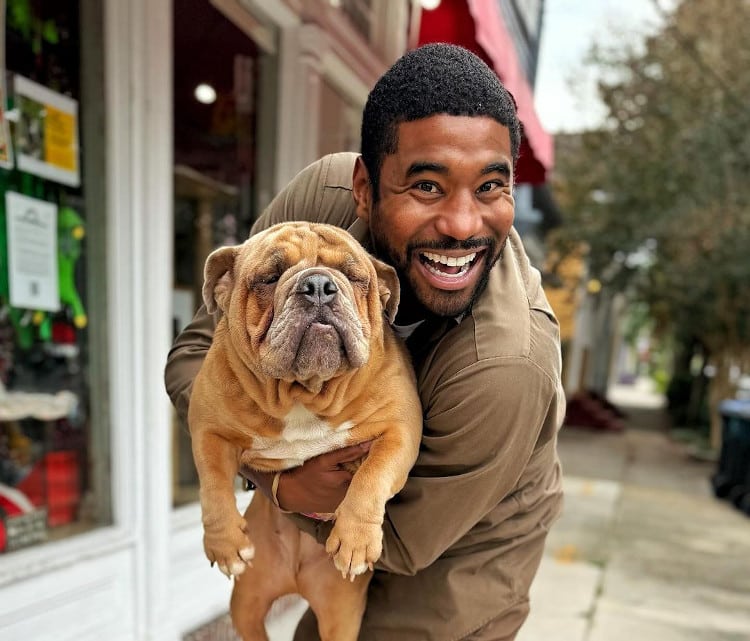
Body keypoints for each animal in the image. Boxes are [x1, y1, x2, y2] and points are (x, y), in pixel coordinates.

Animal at [188, 221, 424, 640]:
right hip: (246, 602)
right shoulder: (208, 428)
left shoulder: (400, 430)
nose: (318, 284)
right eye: (268, 278)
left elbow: (373, 474)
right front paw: (225, 543)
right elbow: (212, 484)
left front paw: (356, 539)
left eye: (353, 276)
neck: (303, 393)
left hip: (340, 612)